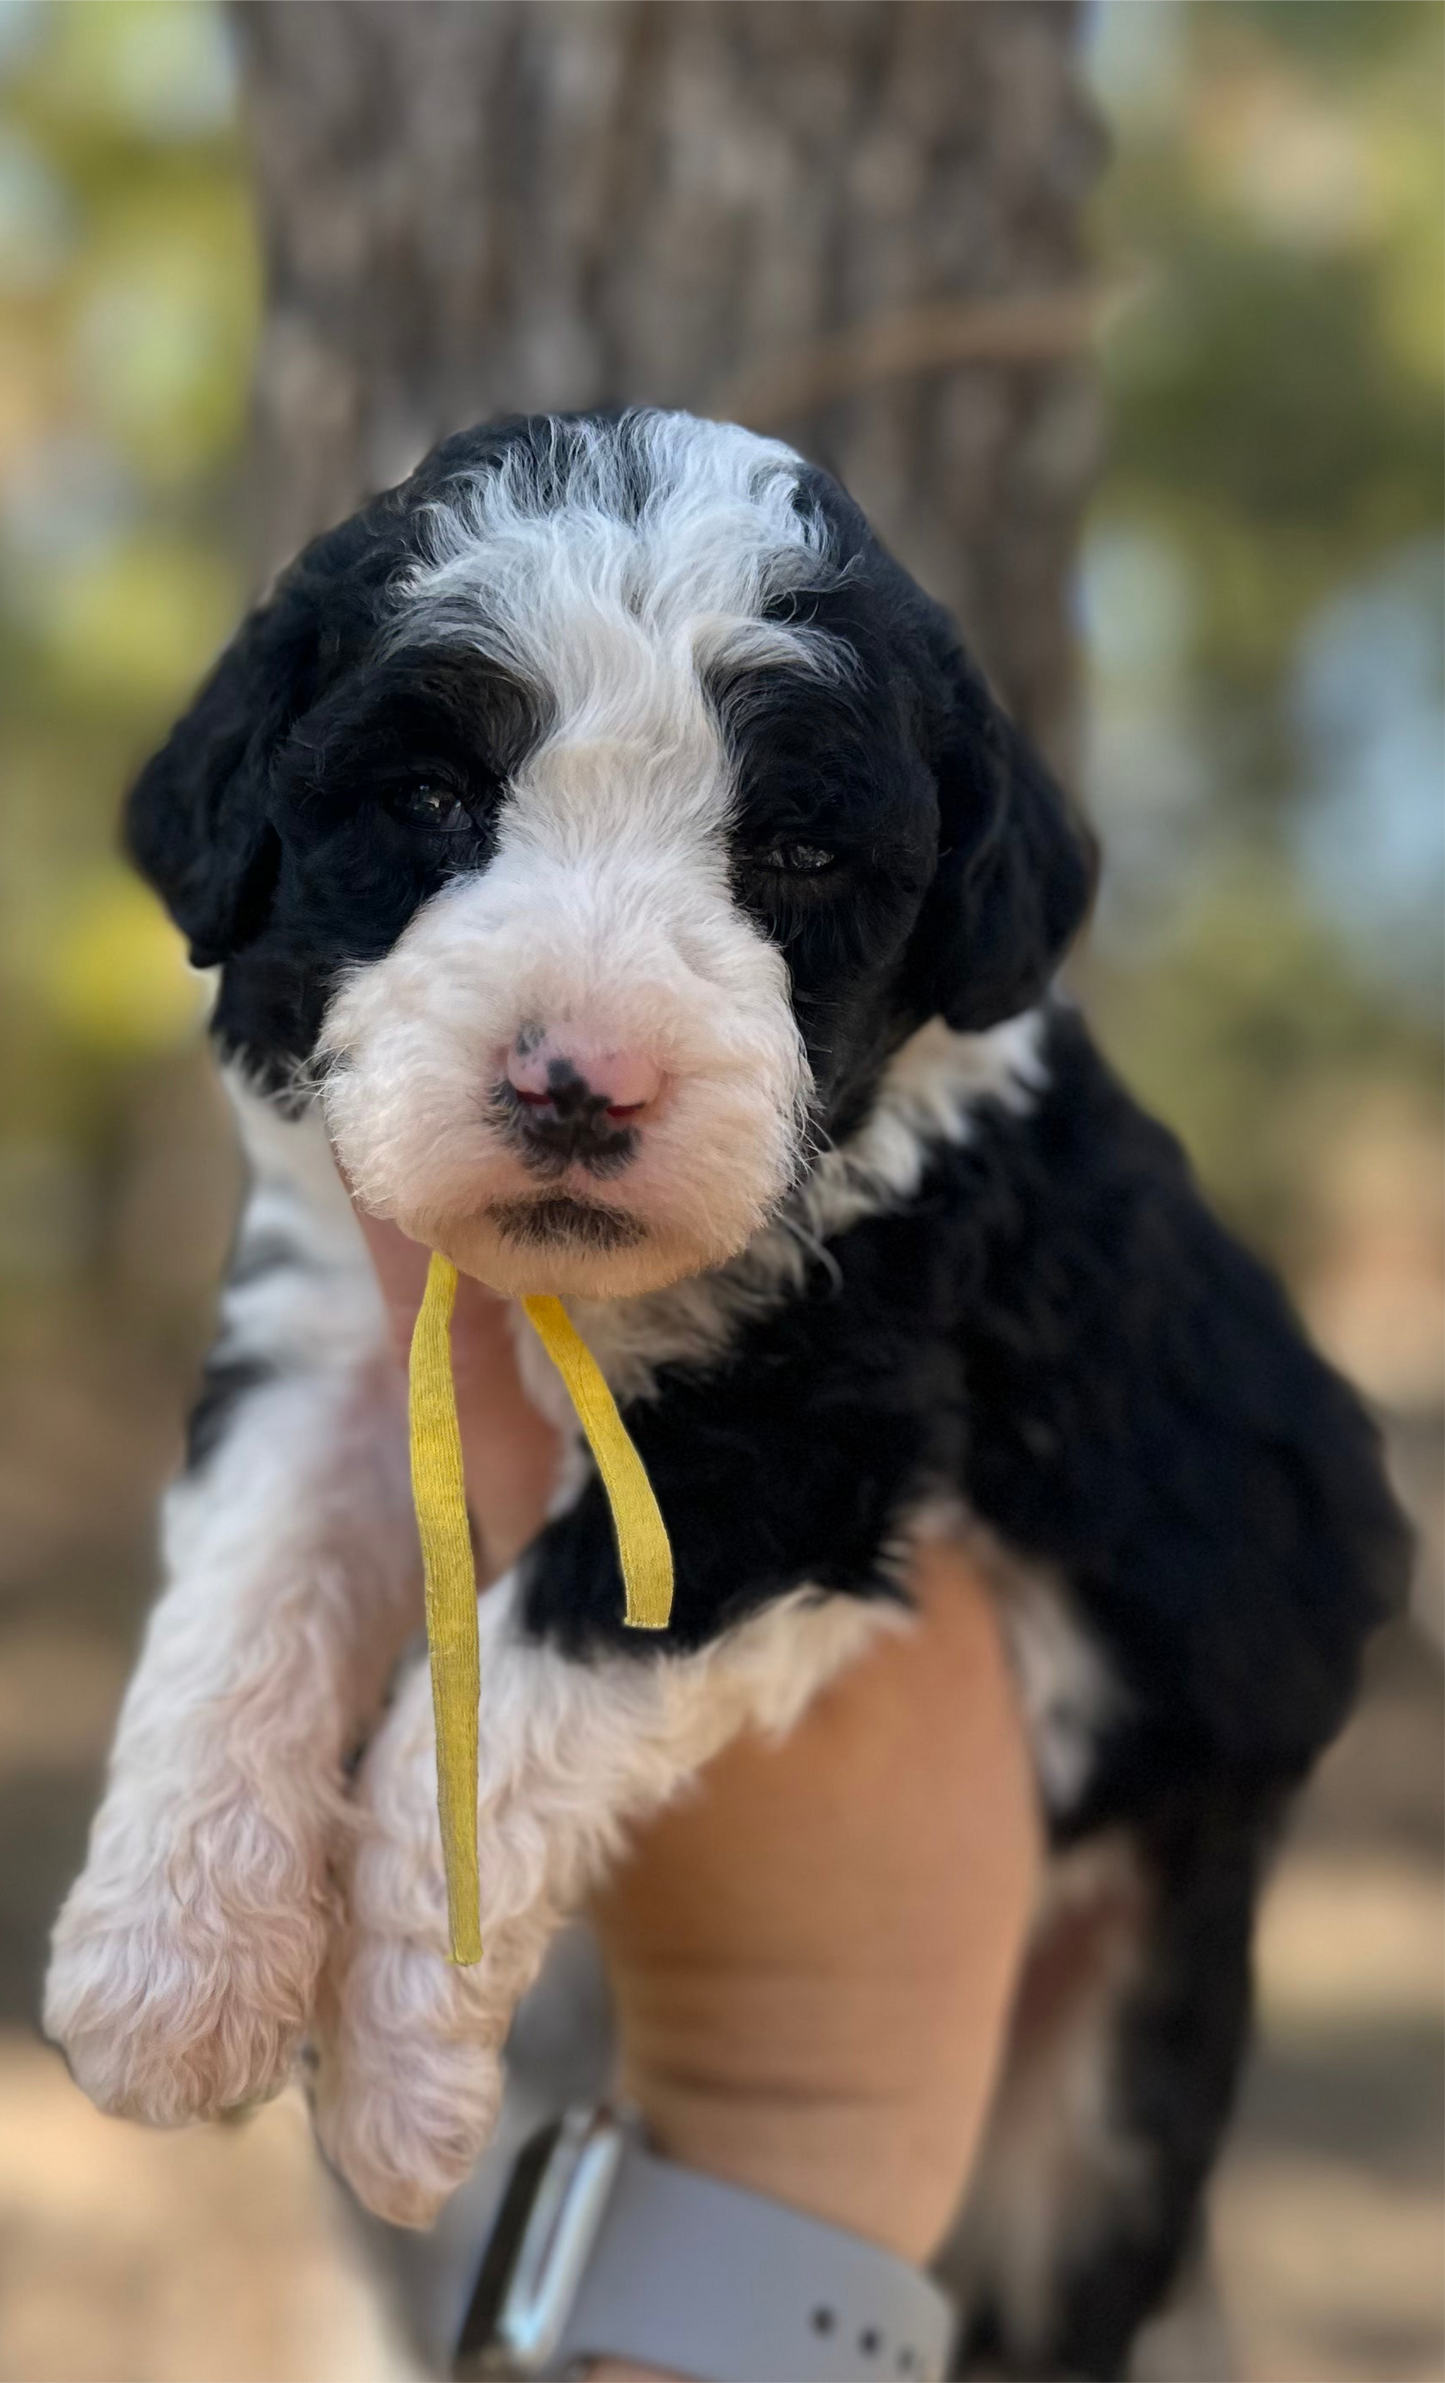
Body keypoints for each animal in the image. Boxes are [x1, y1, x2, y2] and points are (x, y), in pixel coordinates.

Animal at [48, 414, 1411, 2383]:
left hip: (1111, 2094)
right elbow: (242, 1606)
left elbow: (509, 1696)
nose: (578, 1079)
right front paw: (165, 1963)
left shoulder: (806, 1440)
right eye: (435, 801)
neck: (564, 1298)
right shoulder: (330, 1334)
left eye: (793, 847)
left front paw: (393, 2068)